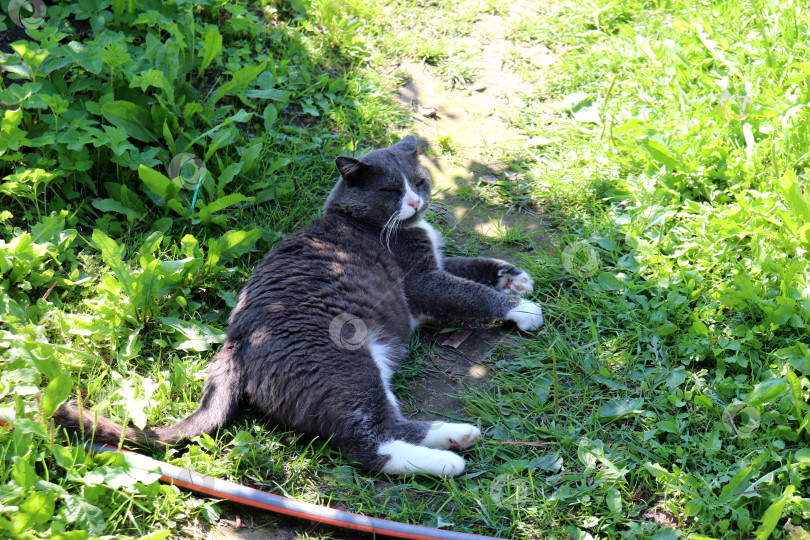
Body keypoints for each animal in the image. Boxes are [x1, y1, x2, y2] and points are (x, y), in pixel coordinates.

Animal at [52, 136, 544, 476]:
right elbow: (466, 292)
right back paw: (451, 454)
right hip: (347, 362)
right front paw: (521, 309)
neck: (360, 222)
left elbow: (469, 267)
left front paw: (514, 276)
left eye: (420, 181)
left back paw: (451, 437)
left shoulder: (436, 263)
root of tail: (234, 345)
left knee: (385, 427)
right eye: (390, 190)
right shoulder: (421, 280)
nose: (415, 200)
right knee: (367, 444)